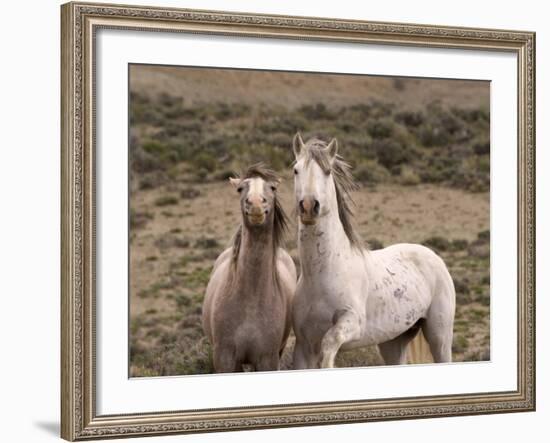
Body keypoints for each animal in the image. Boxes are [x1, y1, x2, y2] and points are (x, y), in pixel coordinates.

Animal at [203, 165, 298, 372]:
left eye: (272, 188)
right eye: (240, 189)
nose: (255, 205)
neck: (250, 302)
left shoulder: (267, 359)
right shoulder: (225, 358)